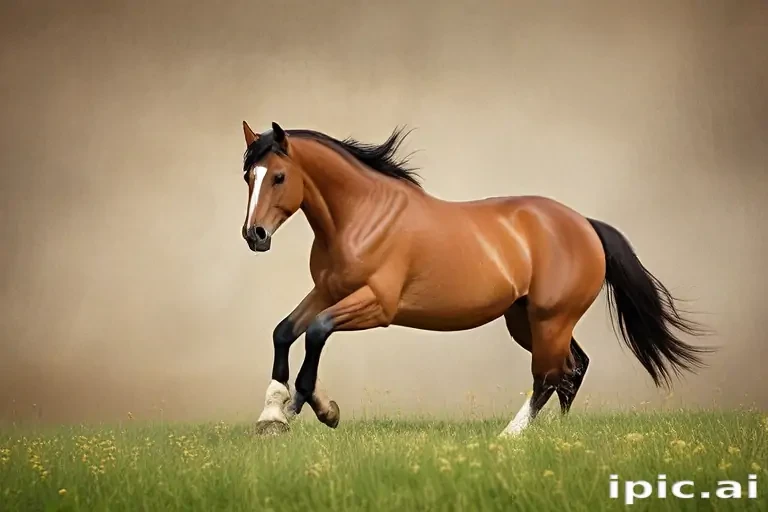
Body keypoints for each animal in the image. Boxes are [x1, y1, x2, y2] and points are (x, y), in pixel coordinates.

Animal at [239, 120, 711, 437]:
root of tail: (585, 225)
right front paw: (274, 414)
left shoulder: (377, 305)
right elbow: (285, 331)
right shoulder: (328, 291)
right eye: (248, 176)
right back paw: (553, 434)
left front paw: (312, 408)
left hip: (551, 318)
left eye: (279, 176)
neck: (361, 218)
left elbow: (317, 333)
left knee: (550, 375)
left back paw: (509, 438)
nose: (254, 235)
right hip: (525, 320)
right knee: (573, 368)